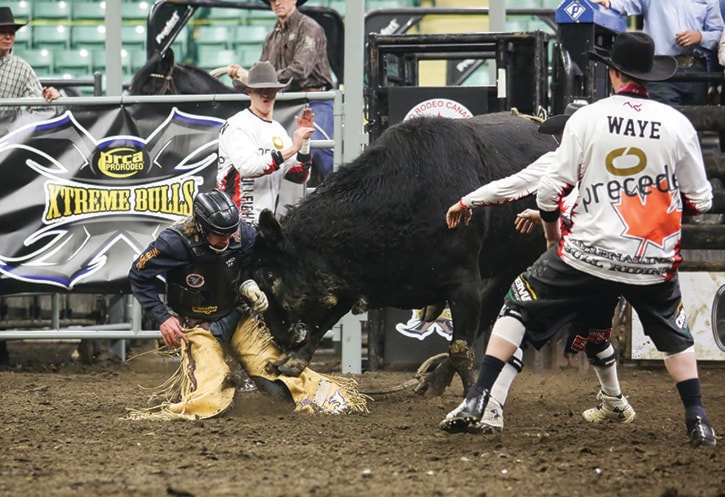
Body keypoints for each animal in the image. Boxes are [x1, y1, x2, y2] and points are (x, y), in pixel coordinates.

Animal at [252, 112, 556, 396]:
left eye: (268, 275)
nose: (277, 337)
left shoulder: (464, 283)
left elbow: (461, 347)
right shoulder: (351, 273)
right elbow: (330, 315)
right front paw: (293, 361)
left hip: (516, 261)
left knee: (488, 311)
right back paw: (433, 381)